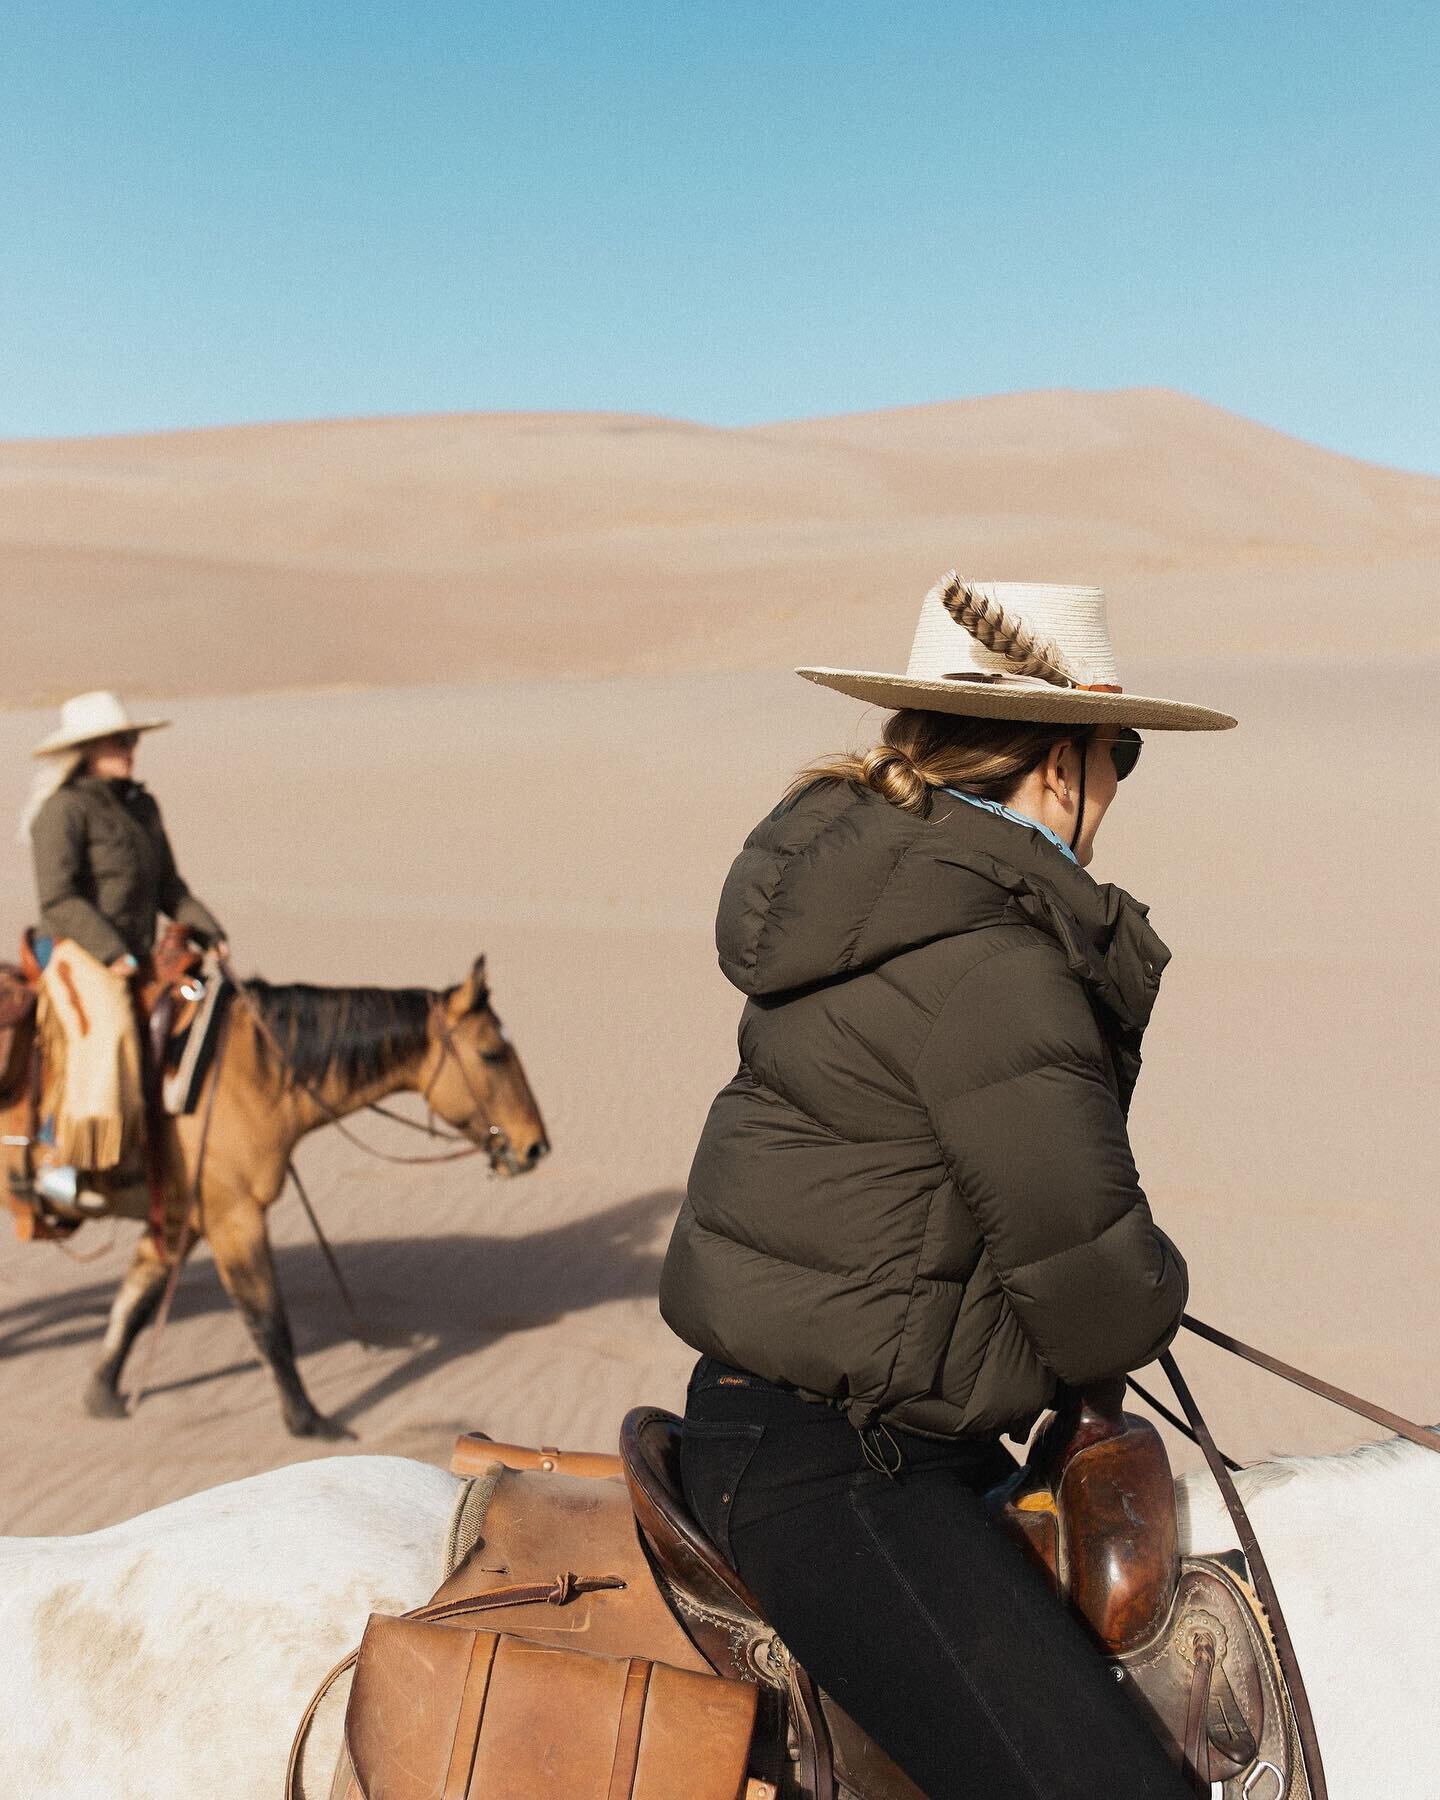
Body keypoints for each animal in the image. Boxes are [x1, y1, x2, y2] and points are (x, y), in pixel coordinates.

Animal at [0, 957, 547, 1432]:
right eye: (492, 1053)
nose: (535, 1145)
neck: (250, 1073)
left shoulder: (182, 1218)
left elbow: (135, 1302)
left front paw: (103, 1396)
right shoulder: (235, 1217)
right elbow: (268, 1322)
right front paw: (309, 1422)